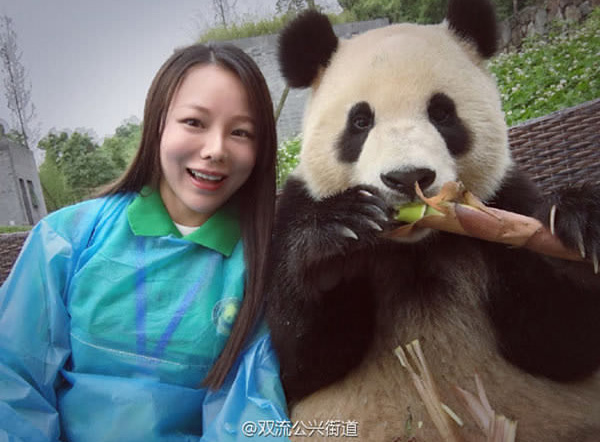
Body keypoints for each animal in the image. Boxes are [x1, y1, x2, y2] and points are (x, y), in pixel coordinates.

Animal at [264, 0, 600, 442]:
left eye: (442, 113)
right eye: (360, 121)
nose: (408, 177)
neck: (415, 246)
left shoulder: (504, 199)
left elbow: (563, 343)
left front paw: (579, 222)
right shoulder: (292, 211)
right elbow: (294, 364)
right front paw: (339, 231)